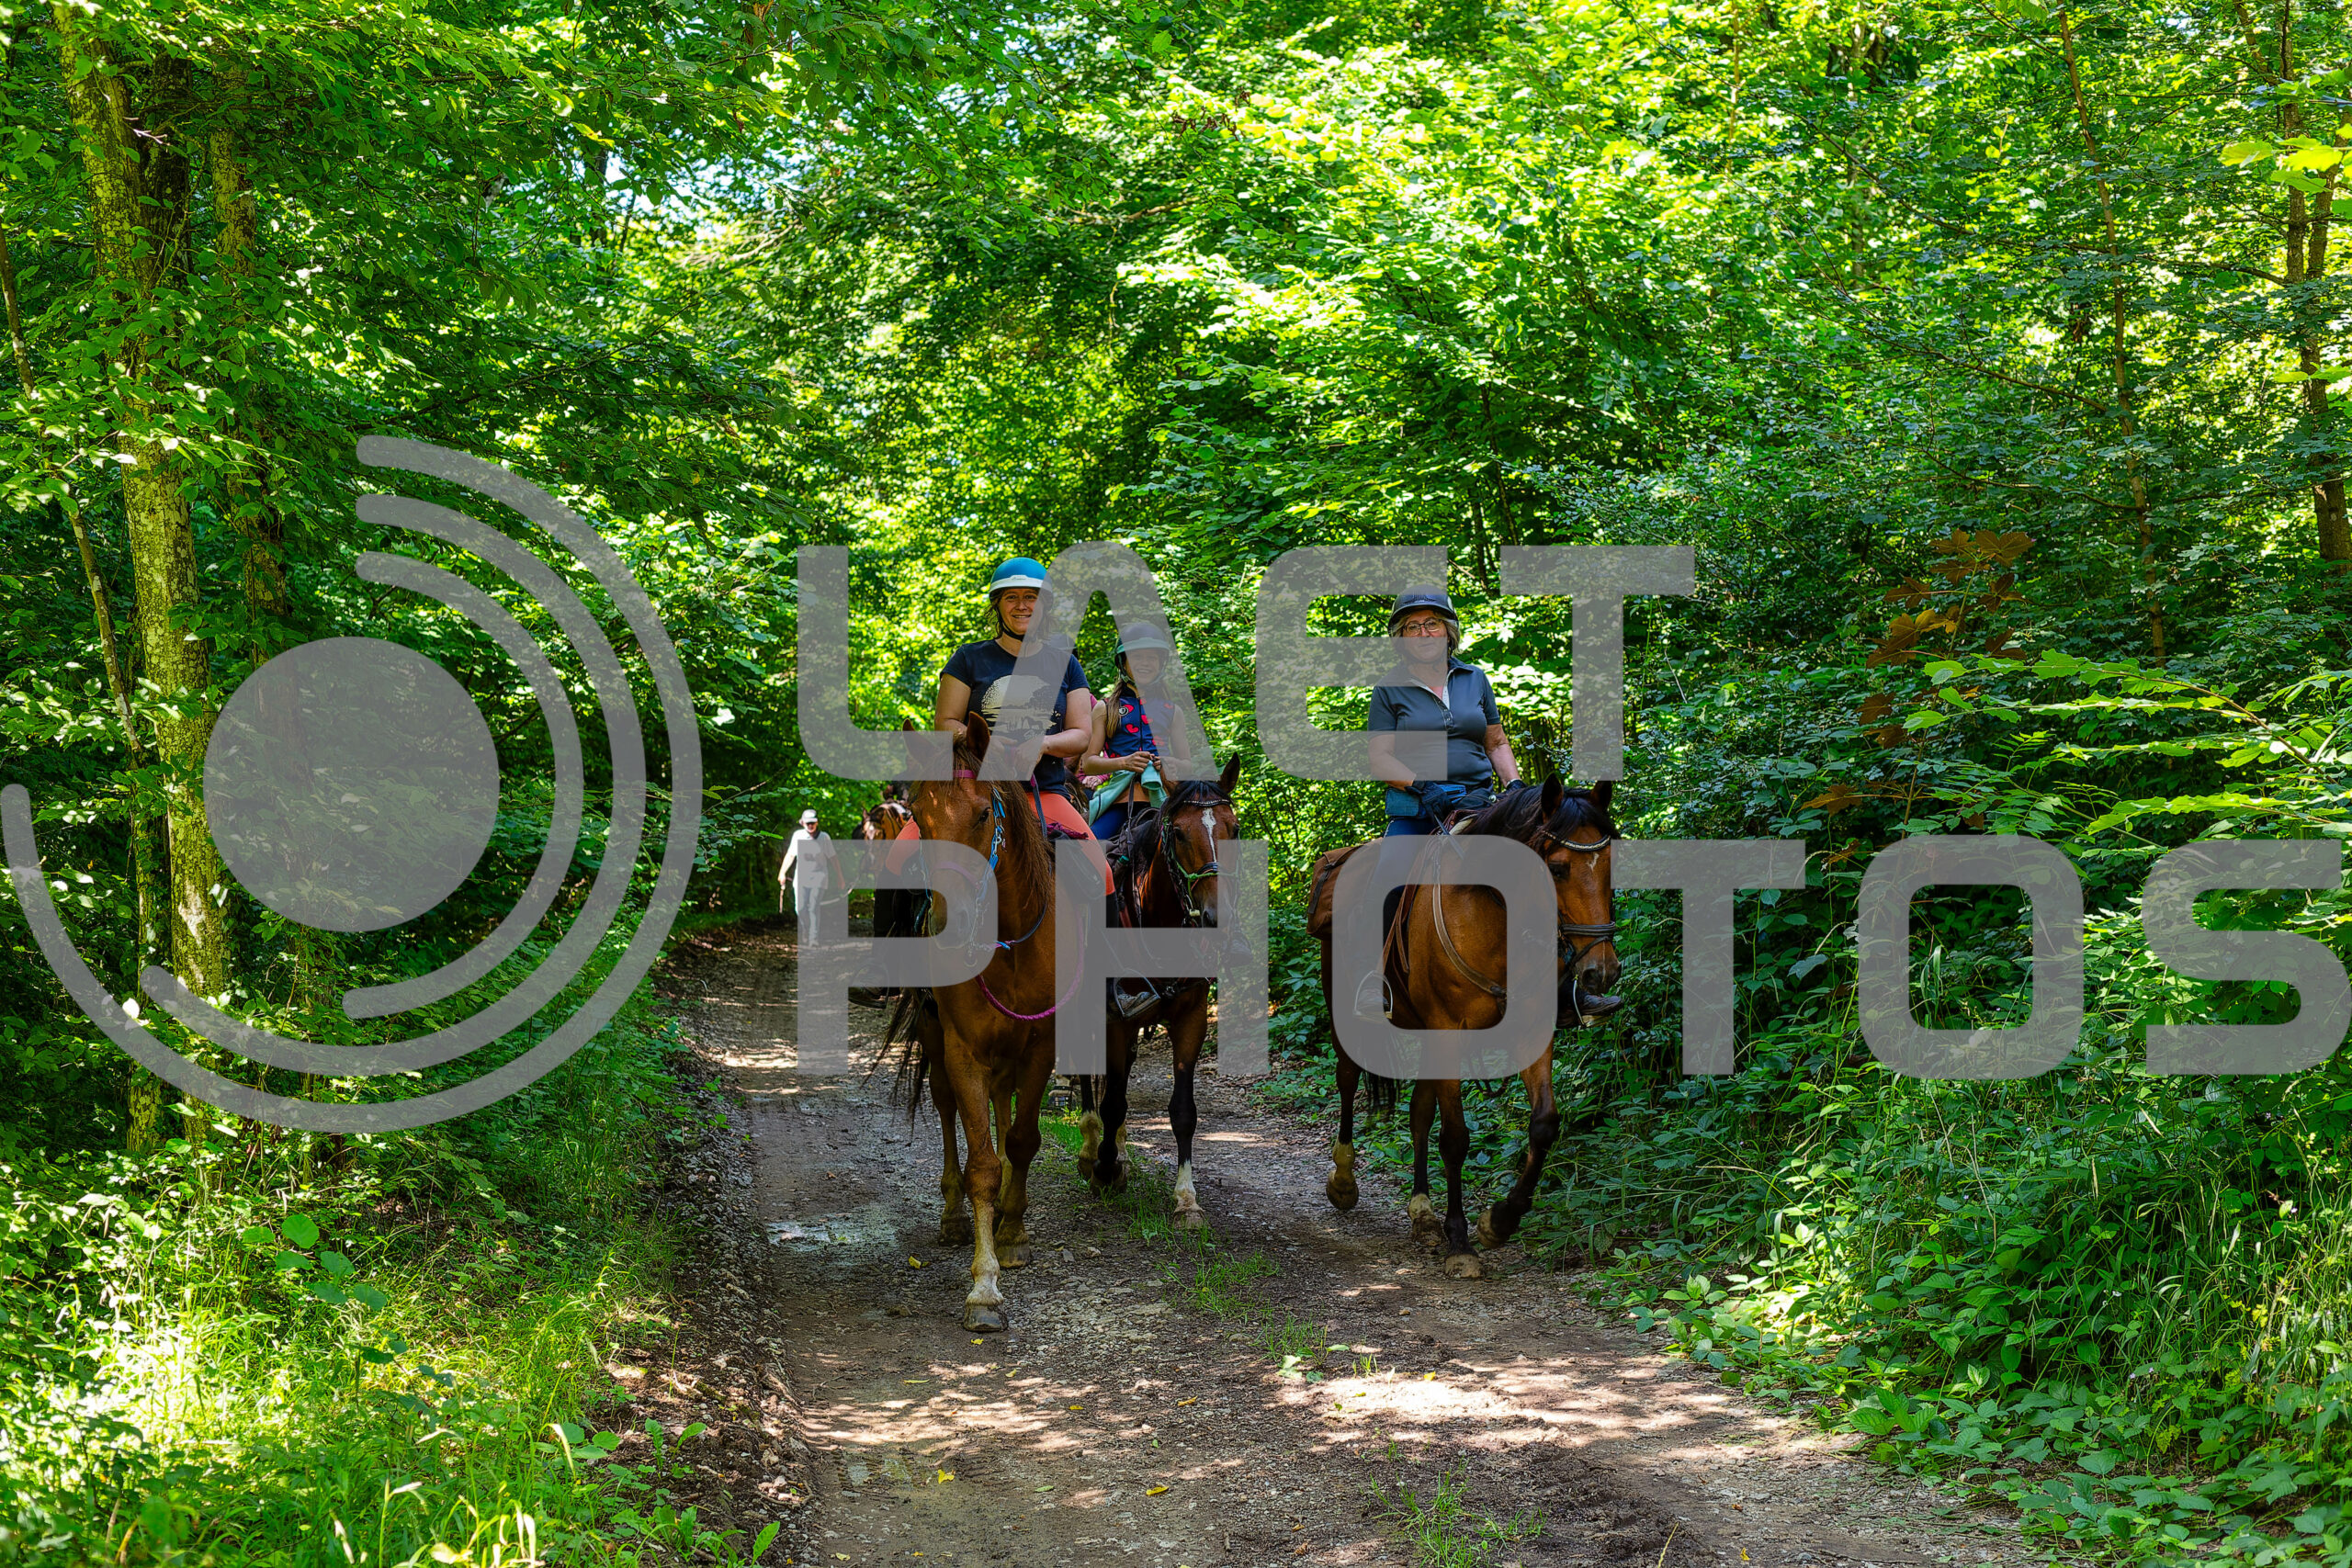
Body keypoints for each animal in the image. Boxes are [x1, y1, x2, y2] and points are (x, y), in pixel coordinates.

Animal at [1073, 757, 1243, 1232]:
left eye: (1235, 827)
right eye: (1180, 833)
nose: (1215, 918)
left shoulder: (1191, 1018)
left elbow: (1183, 1111)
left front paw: (1187, 1200)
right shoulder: (1114, 1019)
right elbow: (1113, 1101)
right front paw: (1104, 1170)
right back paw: (1092, 1148)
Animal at [1305, 779, 1622, 1278]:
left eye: (1611, 865)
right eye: (1557, 868)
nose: (1601, 973)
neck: (1496, 915)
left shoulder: (1530, 1029)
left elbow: (1544, 1125)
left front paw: (1500, 1221)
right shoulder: (1448, 1031)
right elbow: (1455, 1138)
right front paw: (1461, 1243)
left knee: (1418, 1112)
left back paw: (1422, 1214)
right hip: (1350, 1016)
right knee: (1348, 1079)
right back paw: (1343, 1180)